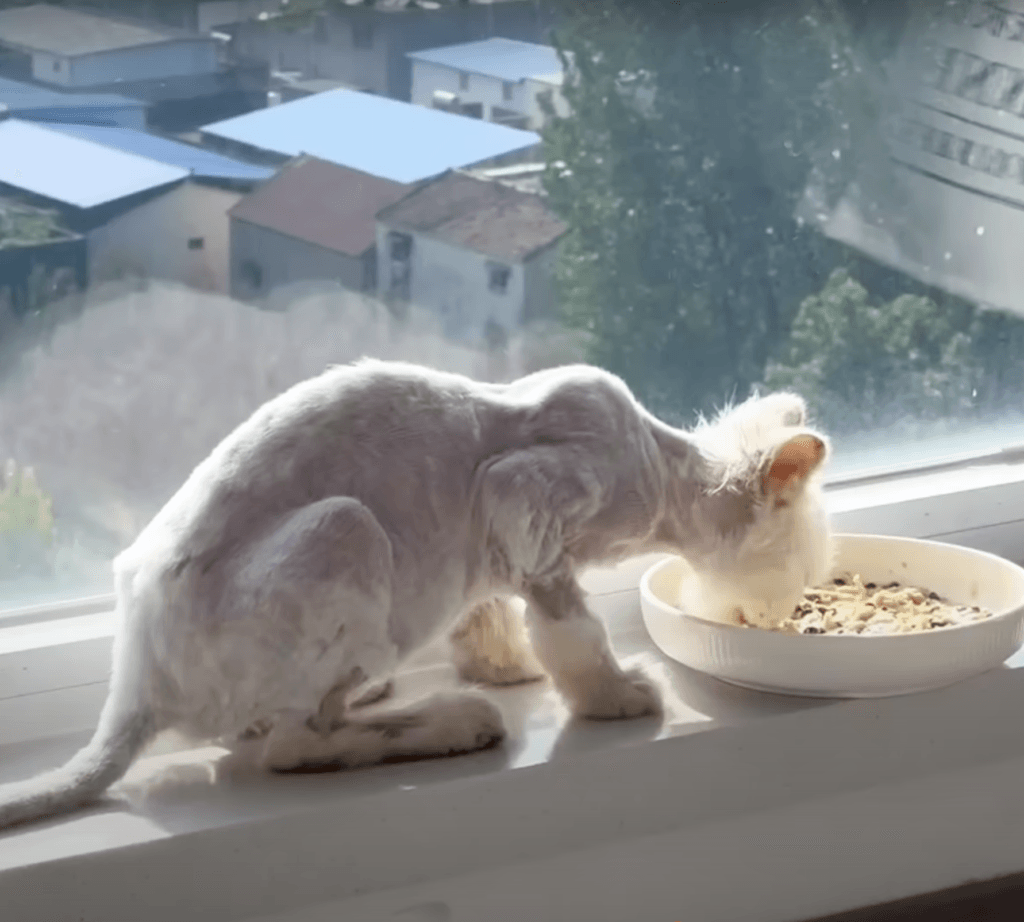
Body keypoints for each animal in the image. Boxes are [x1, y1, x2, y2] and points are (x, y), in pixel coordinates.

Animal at [0, 360, 829, 830]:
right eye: (801, 570)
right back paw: (451, 722)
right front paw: (618, 697)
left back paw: (390, 698)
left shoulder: (492, 550)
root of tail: (133, 688)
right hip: (347, 531)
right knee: (292, 746)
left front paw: (508, 667)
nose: (787, 615)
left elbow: (492, 617)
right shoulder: (522, 502)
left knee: (273, 727)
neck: (657, 475)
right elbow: (577, 634)